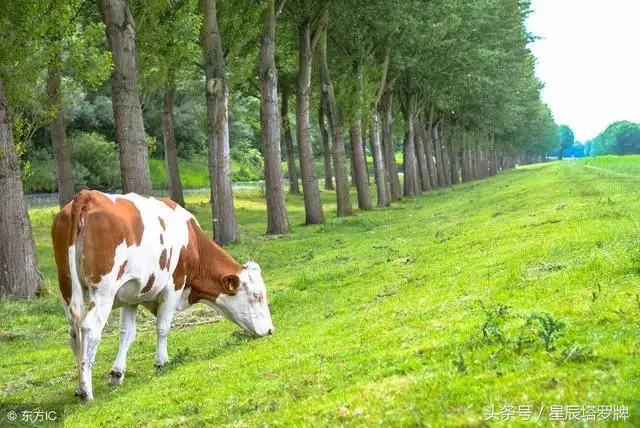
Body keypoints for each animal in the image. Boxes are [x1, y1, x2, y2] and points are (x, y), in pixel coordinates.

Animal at [52, 191, 276, 402]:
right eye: (257, 295)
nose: (270, 330)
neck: (193, 242)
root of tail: (87, 196)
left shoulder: (131, 295)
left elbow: (127, 333)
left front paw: (117, 373)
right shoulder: (174, 285)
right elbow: (163, 326)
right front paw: (161, 363)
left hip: (66, 287)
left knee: (74, 332)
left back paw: (79, 385)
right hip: (103, 290)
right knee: (89, 329)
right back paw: (86, 391)